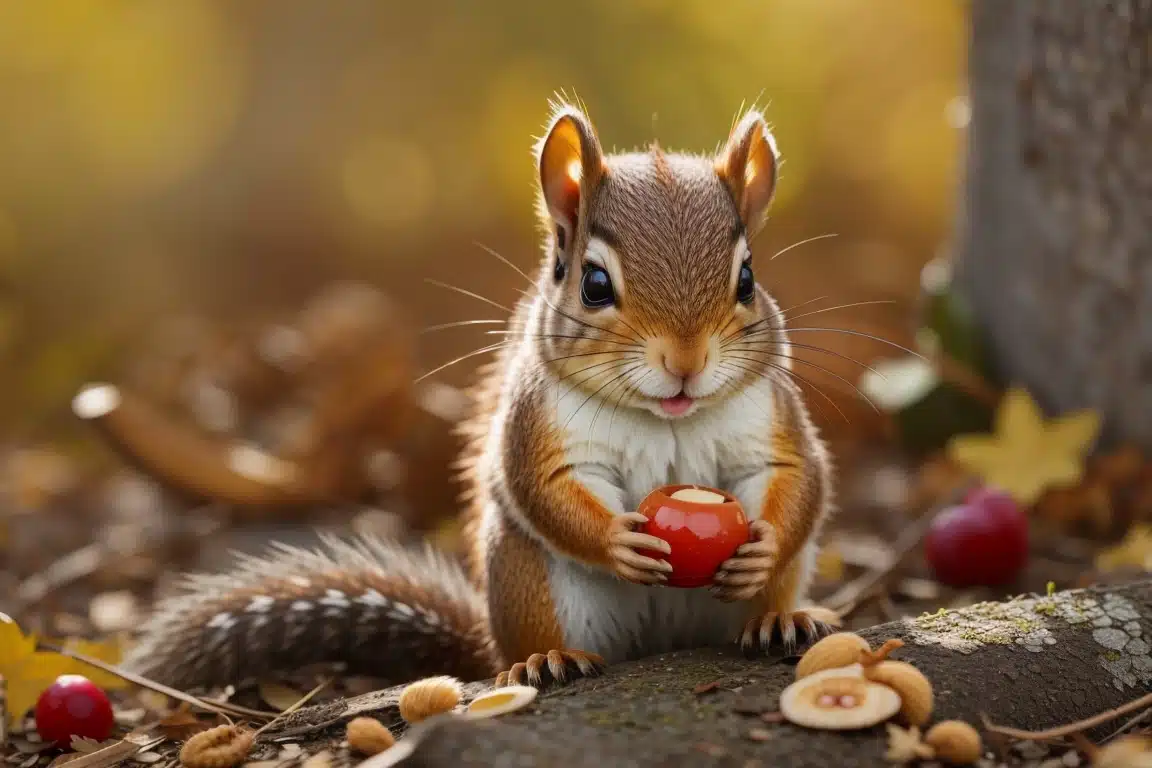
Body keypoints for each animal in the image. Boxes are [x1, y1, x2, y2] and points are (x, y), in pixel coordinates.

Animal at [123, 99, 838, 695]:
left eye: (747, 278)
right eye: (594, 283)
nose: (686, 362)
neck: (665, 417)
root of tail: (660, 646)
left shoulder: (768, 417)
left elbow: (796, 476)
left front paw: (763, 545)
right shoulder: (538, 424)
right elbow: (544, 489)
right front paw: (617, 543)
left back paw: (779, 621)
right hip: (529, 579)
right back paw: (547, 660)